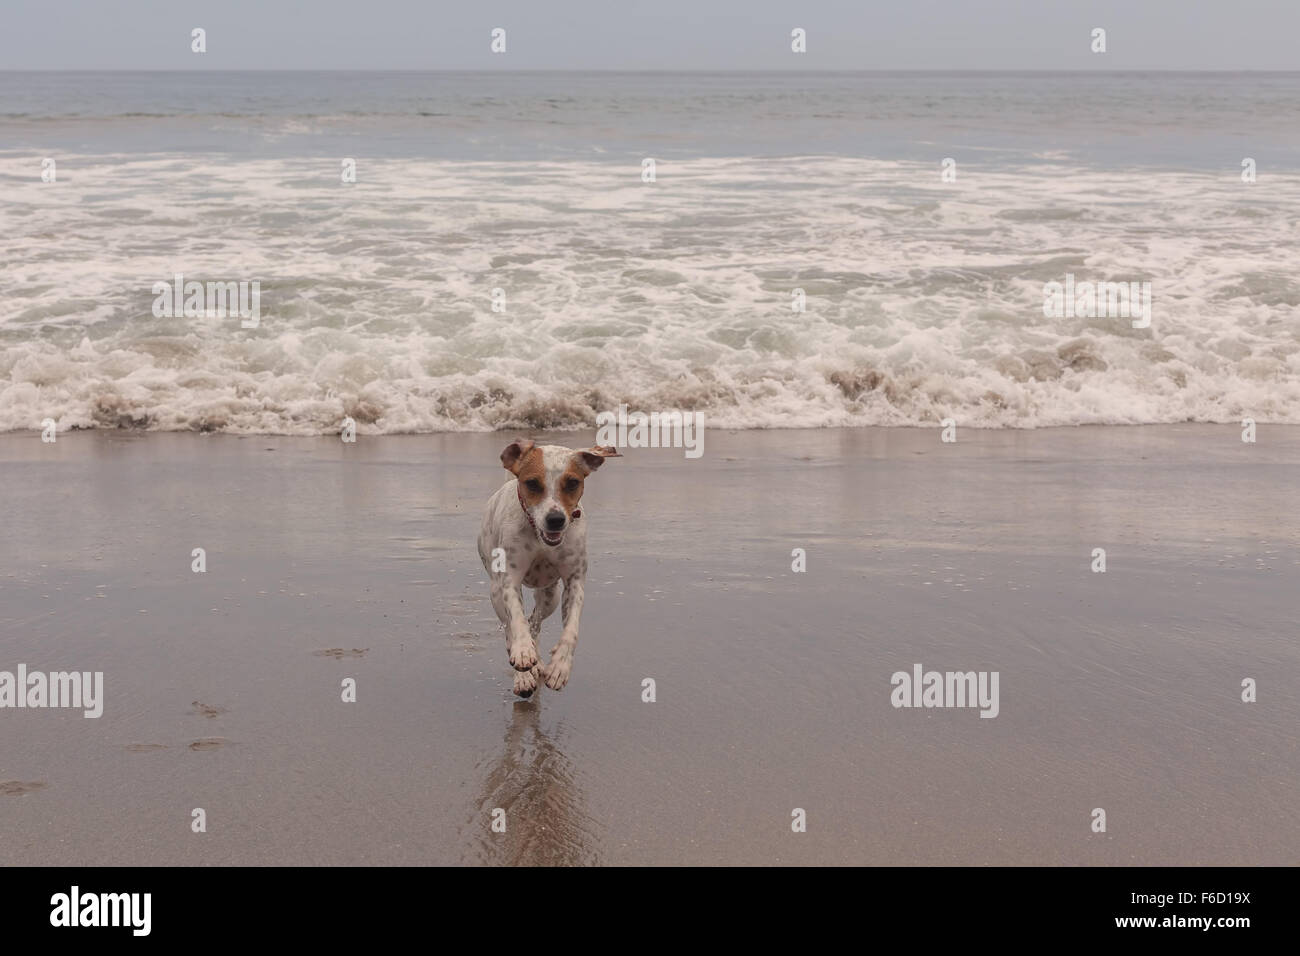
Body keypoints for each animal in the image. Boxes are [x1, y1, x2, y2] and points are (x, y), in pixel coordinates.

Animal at [478, 439, 618, 697]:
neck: (538, 536)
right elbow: (517, 621)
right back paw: (523, 673)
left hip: (550, 596)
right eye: (532, 483)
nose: (555, 520)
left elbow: (571, 629)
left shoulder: (575, 581)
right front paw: (523, 653)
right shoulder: (510, 579)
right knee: (510, 628)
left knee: (535, 621)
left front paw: (559, 667)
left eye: (572, 482)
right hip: (495, 592)